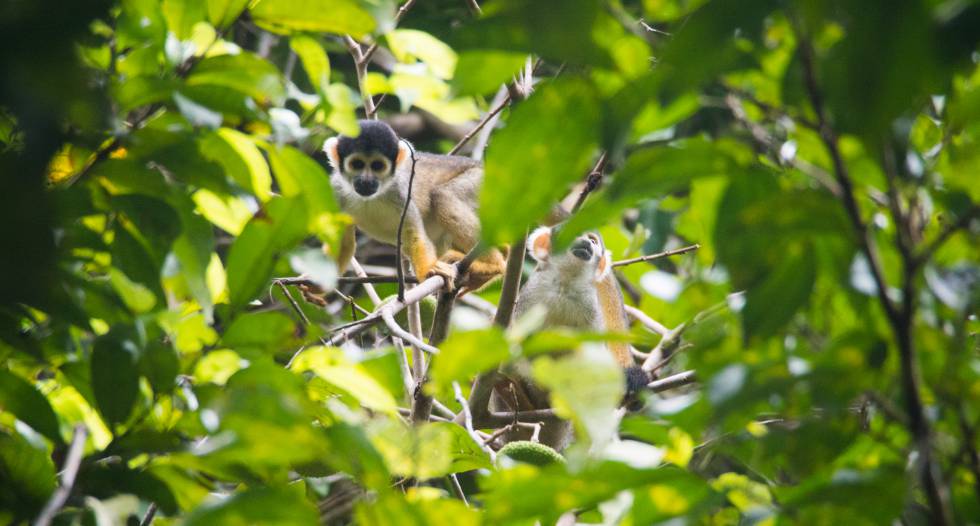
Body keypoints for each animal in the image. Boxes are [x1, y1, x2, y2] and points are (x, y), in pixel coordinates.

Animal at [324, 120, 506, 292]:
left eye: (377, 166)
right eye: (357, 164)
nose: (366, 181)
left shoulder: (401, 192)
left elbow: (414, 235)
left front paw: (429, 270)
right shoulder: (335, 191)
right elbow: (343, 244)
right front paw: (318, 287)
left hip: (483, 181)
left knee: (442, 196)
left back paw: (494, 265)